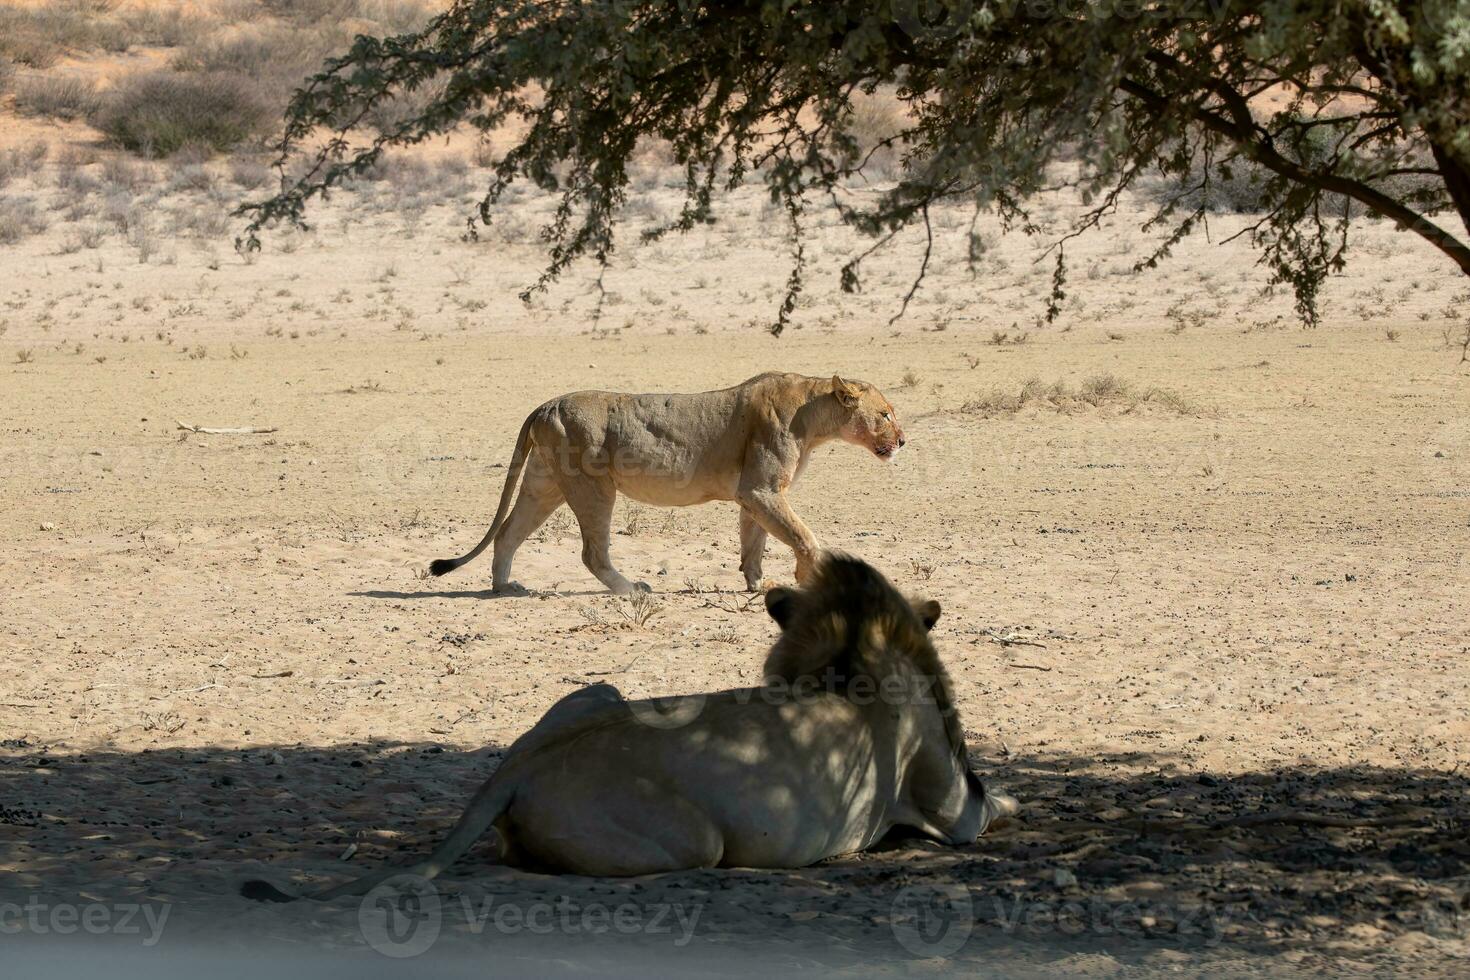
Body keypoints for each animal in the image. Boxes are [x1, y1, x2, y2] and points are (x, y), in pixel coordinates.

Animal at [244, 555, 1023, 899]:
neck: (845, 658)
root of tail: (517, 769)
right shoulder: (953, 808)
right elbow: (991, 805)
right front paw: (1016, 798)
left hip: (594, 692)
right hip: (696, 842)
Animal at [429, 373, 905, 590]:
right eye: (885, 414)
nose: (903, 440)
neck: (813, 411)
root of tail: (545, 405)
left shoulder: (754, 494)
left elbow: (754, 542)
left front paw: (757, 585)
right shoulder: (762, 489)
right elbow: (804, 536)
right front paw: (810, 577)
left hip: (543, 484)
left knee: (507, 533)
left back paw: (504, 588)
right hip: (592, 485)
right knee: (591, 553)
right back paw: (632, 590)